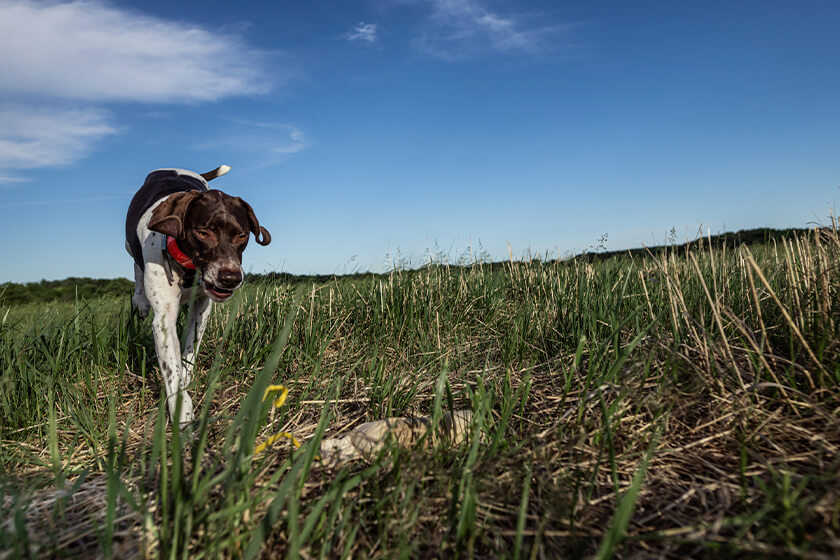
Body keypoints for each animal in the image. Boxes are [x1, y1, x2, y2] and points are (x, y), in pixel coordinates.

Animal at [124, 164, 270, 426]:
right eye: (203, 233)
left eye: (242, 236)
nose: (231, 278)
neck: (189, 269)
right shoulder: (163, 319)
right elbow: (171, 365)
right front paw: (180, 407)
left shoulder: (202, 307)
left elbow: (189, 349)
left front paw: (186, 377)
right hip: (129, 246)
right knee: (136, 266)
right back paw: (140, 300)